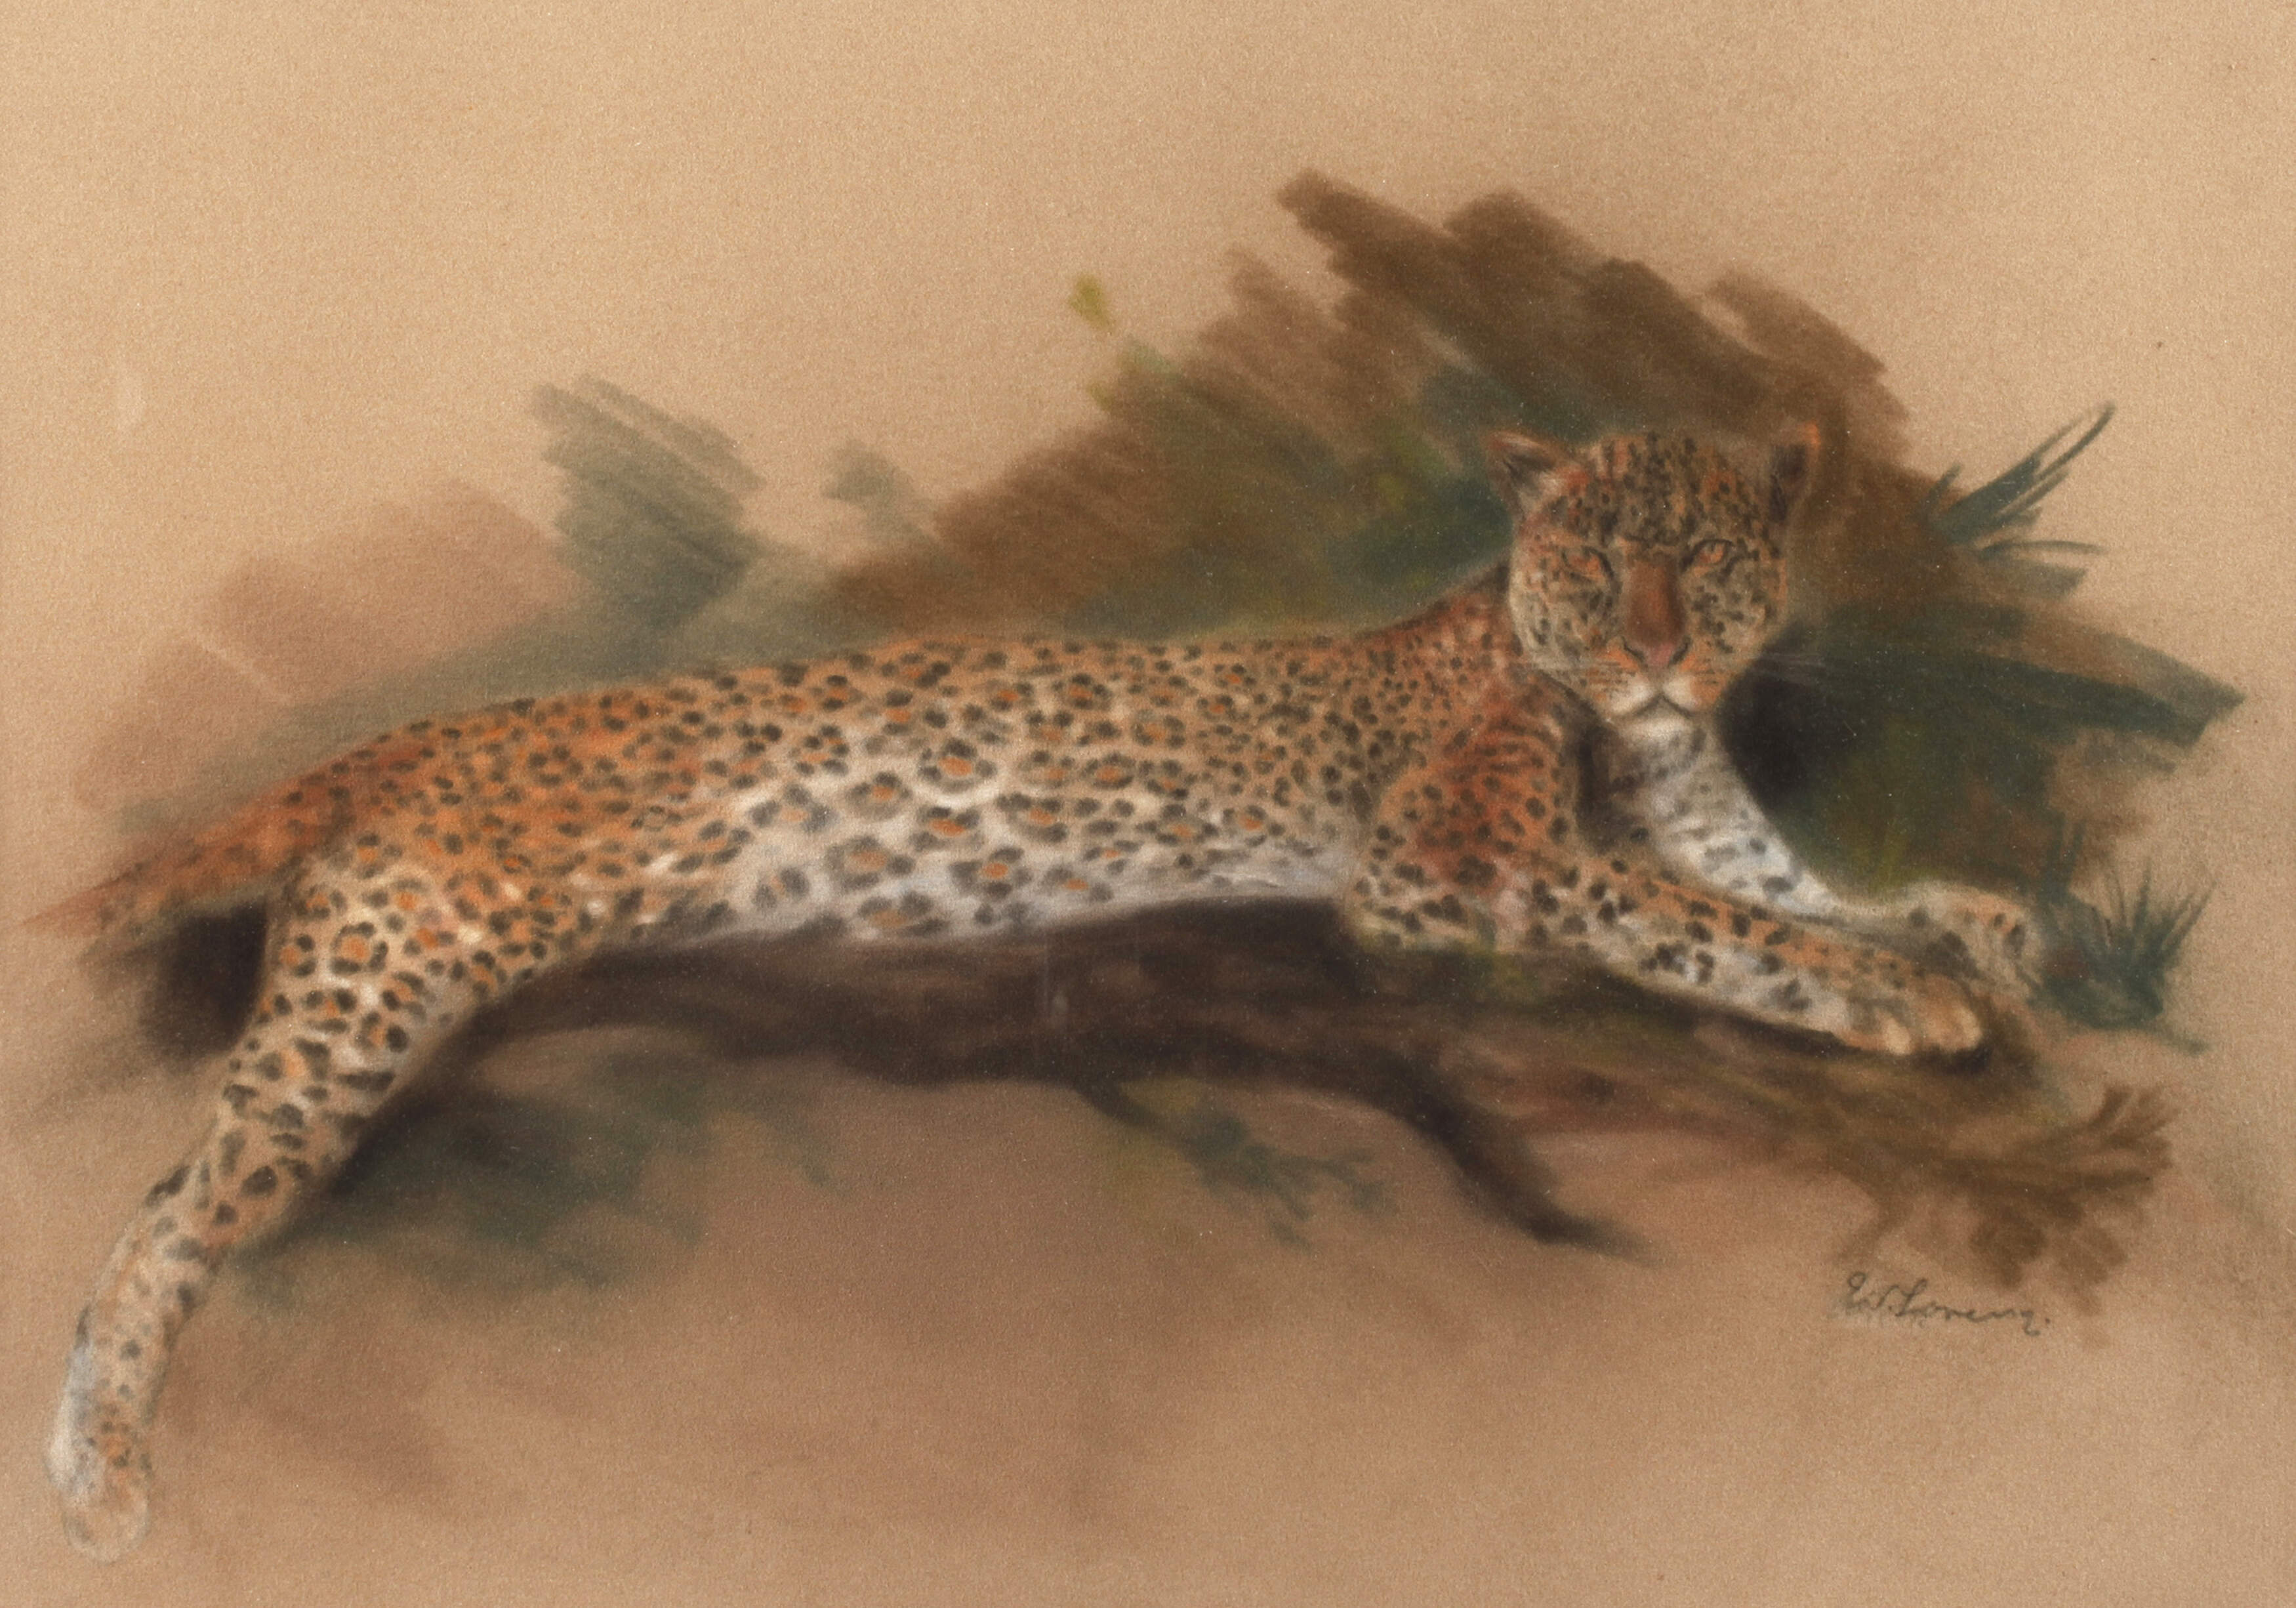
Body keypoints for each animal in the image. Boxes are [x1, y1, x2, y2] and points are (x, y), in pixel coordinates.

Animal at [42, 423, 2038, 1559]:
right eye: (1598, 556)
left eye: (1707, 558)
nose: (1655, 647)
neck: (1643, 731)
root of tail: (414, 737)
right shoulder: (1452, 866)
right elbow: (1717, 928)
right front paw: (1903, 998)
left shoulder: (1705, 826)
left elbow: (1812, 887)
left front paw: (1986, 929)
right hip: (385, 980)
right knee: (160, 1218)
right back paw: (105, 1475)